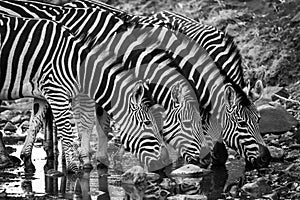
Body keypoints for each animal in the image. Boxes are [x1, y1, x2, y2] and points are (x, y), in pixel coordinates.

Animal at [0, 0, 211, 172]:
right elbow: (89, 121)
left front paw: (99, 158)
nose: (207, 159)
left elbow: (102, 121)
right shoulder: (89, 83)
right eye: (189, 123)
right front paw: (87, 159)